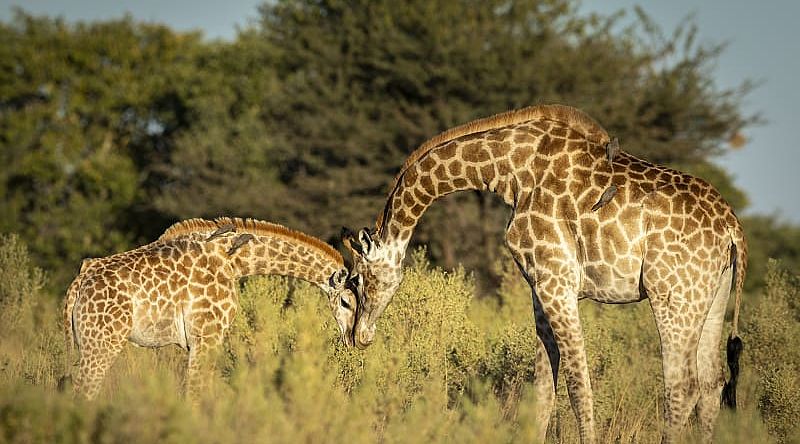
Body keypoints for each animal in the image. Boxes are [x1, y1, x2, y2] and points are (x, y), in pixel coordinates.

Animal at [65, 217, 360, 400]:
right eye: (346, 302)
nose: (357, 340)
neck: (236, 262)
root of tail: (79, 283)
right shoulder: (206, 336)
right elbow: (194, 395)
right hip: (102, 343)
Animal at [344, 105, 744, 444]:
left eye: (356, 282)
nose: (359, 336)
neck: (509, 172)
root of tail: (732, 228)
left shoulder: (557, 281)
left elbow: (578, 387)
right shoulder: (539, 287)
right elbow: (542, 390)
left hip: (672, 296)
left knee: (684, 387)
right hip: (711, 298)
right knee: (712, 384)